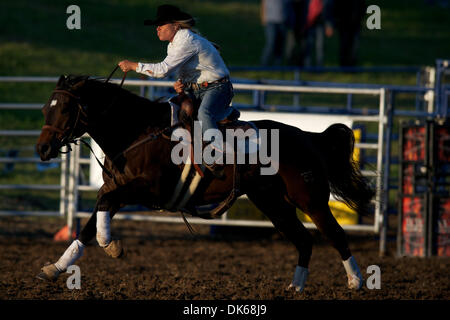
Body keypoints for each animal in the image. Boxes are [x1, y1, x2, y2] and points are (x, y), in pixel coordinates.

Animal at [35, 74, 374, 292]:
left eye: (64, 108)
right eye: (44, 108)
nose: (43, 148)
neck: (137, 131)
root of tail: (308, 137)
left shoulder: (144, 189)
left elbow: (101, 210)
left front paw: (112, 246)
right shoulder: (117, 189)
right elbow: (90, 222)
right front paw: (56, 268)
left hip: (310, 199)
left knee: (335, 234)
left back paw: (357, 281)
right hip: (272, 203)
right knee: (304, 240)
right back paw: (297, 286)